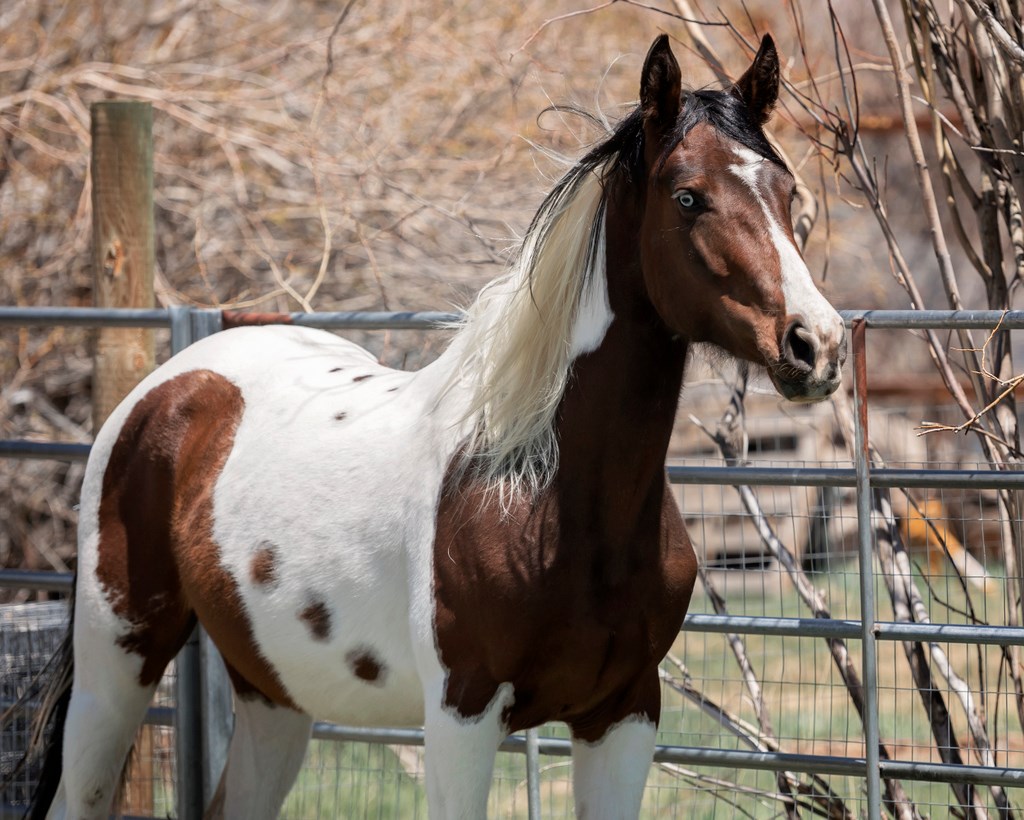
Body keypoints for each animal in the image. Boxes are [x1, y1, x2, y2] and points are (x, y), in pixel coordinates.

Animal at [23, 34, 845, 819]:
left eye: (786, 190)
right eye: (688, 196)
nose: (817, 343)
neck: (541, 493)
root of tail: (171, 385)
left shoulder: (624, 713)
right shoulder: (462, 714)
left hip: (273, 694)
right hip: (116, 664)